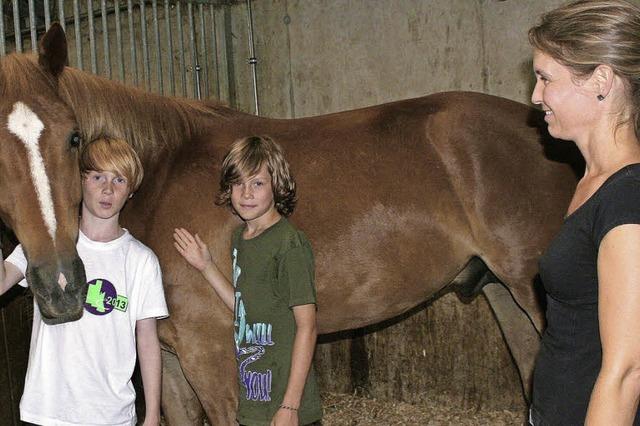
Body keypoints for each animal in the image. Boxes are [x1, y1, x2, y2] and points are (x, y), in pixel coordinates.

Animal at [0, 25, 580, 422]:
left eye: (74, 137)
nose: (60, 287)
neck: (160, 174)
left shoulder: (210, 355)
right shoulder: (170, 356)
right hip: (504, 295)